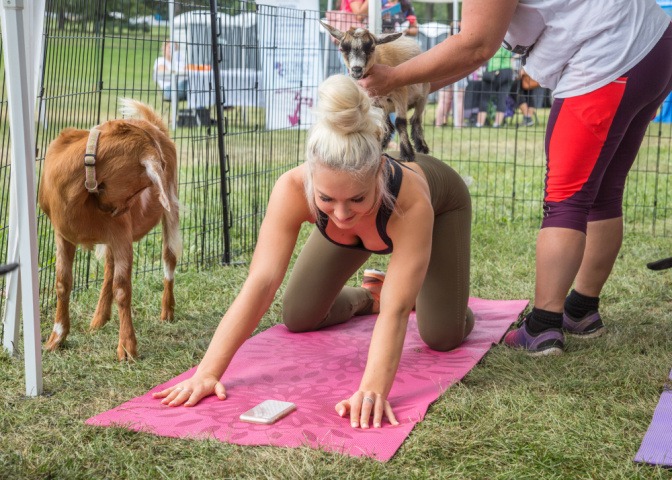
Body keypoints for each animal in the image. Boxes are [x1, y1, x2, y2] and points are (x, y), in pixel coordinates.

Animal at [39, 98, 181, 360]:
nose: (118, 210)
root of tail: (155, 125)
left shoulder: (121, 234)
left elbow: (122, 288)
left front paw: (127, 347)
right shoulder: (62, 235)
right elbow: (63, 282)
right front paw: (56, 338)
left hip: (170, 208)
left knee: (169, 257)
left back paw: (167, 311)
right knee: (108, 269)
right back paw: (99, 318)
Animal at [320, 22, 430, 162]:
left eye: (371, 48)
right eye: (342, 49)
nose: (356, 70)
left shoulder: (400, 94)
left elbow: (400, 122)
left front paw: (407, 154)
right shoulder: (372, 102)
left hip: (424, 94)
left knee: (415, 118)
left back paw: (421, 146)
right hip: (386, 105)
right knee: (389, 125)